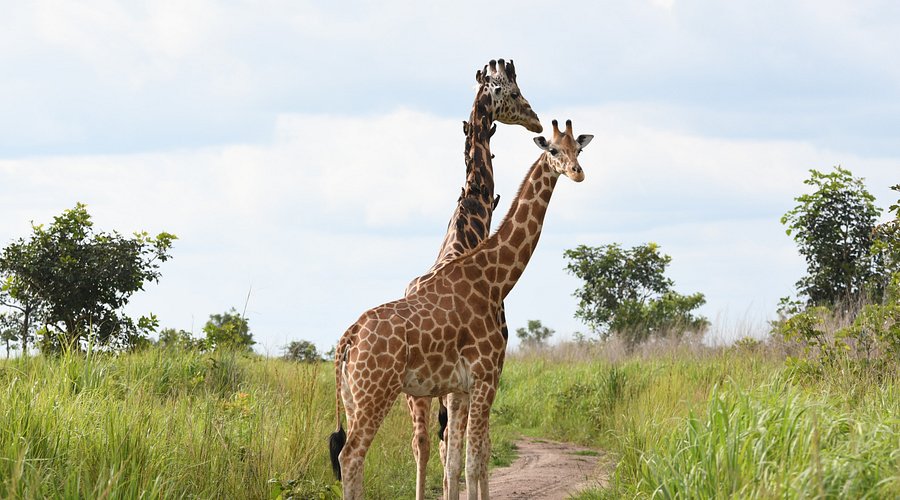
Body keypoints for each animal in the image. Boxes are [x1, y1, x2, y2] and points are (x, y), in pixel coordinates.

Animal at [330, 119, 594, 500]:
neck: (495, 280)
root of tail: (349, 338)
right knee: (351, 455)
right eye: (554, 150)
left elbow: (457, 462)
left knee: (356, 457)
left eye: (580, 149)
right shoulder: (485, 378)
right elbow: (473, 461)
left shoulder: (462, 387)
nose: (577, 172)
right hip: (376, 393)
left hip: (353, 398)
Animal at [404, 58, 541, 500]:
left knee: (426, 444)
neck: (467, 228)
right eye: (514, 93)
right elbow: (475, 453)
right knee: (445, 445)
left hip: (424, 391)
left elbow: (460, 454)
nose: (536, 119)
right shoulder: (479, 374)